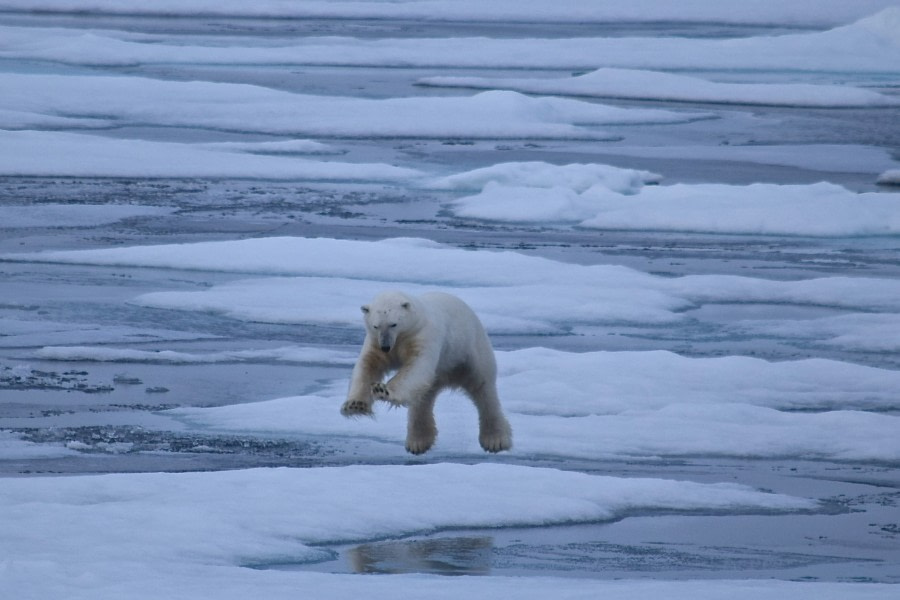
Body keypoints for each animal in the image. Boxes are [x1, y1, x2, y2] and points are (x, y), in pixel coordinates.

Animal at [342, 290, 512, 454]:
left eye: (393, 324)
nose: (385, 346)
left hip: (469, 349)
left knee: (483, 389)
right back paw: (418, 442)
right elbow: (367, 366)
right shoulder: (374, 342)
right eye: (376, 326)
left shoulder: (422, 336)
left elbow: (416, 366)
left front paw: (382, 390)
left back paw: (495, 440)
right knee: (423, 397)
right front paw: (355, 405)